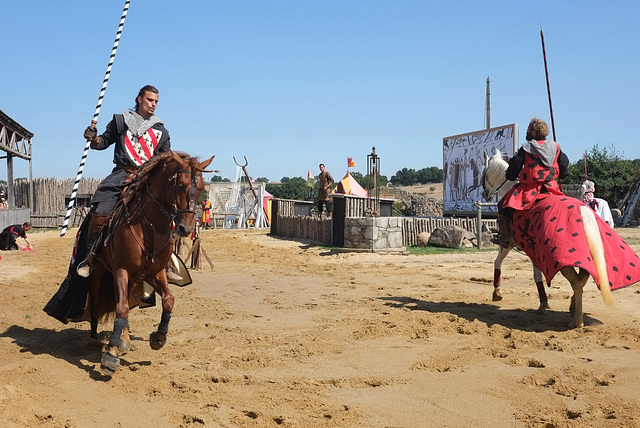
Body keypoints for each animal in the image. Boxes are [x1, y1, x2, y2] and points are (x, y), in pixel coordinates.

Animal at [87, 150, 214, 374]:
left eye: (200, 188)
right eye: (181, 185)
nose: (186, 228)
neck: (150, 225)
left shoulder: (155, 272)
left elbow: (168, 300)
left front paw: (159, 337)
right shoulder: (121, 270)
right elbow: (121, 308)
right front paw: (111, 355)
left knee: (124, 300)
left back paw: (124, 338)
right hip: (99, 271)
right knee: (97, 299)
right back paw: (95, 333)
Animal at [482, 150, 612, 328]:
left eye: (484, 173)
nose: (485, 195)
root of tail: (584, 212)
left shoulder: (510, 244)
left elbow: (500, 263)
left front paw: (497, 292)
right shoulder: (533, 250)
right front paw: (544, 303)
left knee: (577, 282)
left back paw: (577, 321)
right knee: (583, 278)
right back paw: (573, 309)